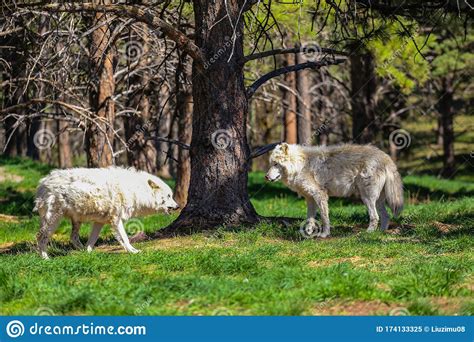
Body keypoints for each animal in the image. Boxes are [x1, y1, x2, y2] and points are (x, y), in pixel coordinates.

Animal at [33, 166, 178, 260]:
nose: (177, 206)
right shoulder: (116, 220)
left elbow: (92, 241)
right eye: (169, 196)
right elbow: (125, 238)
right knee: (41, 237)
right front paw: (133, 251)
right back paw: (45, 258)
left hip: (76, 221)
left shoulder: (100, 222)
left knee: (73, 238)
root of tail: (42, 182)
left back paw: (81, 251)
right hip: (54, 220)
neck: (135, 190)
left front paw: (89, 253)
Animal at [264, 143, 402, 236]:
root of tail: (386, 157)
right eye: (271, 164)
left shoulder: (320, 195)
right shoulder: (310, 198)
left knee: (375, 217)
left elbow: (324, 217)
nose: (266, 177)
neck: (300, 165)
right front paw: (308, 232)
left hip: (367, 198)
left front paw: (324, 234)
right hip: (377, 200)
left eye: (276, 164)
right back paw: (380, 233)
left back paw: (367, 233)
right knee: (386, 216)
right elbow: (310, 218)